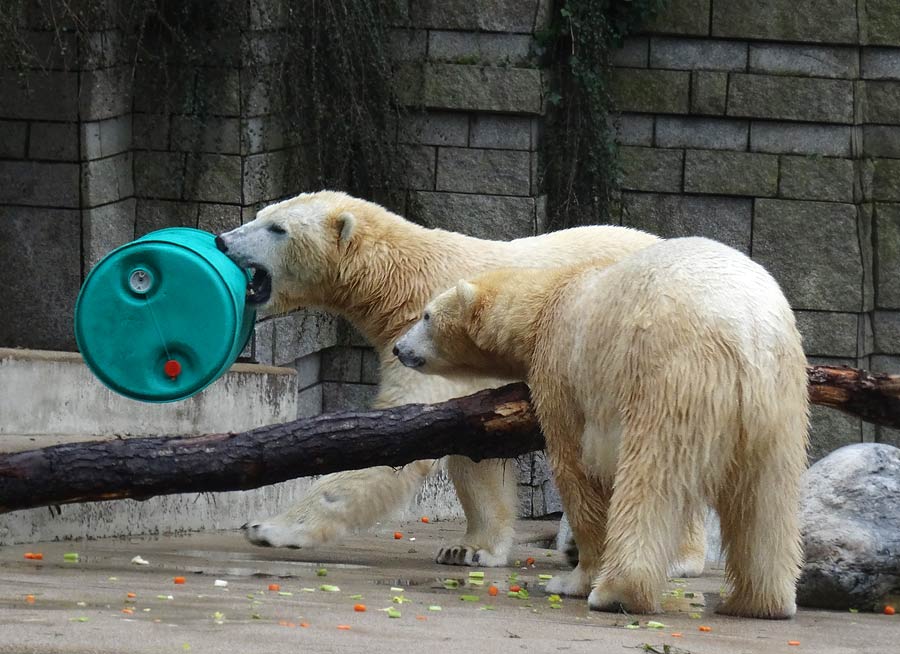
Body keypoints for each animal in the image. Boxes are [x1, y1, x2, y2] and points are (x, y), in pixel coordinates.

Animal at [394, 238, 808, 616]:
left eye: (426, 316)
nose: (399, 349)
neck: (546, 301)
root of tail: (747, 334)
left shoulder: (563, 366)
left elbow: (576, 466)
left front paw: (573, 579)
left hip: (673, 375)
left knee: (650, 477)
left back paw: (617, 593)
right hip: (782, 400)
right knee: (767, 496)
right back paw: (759, 601)